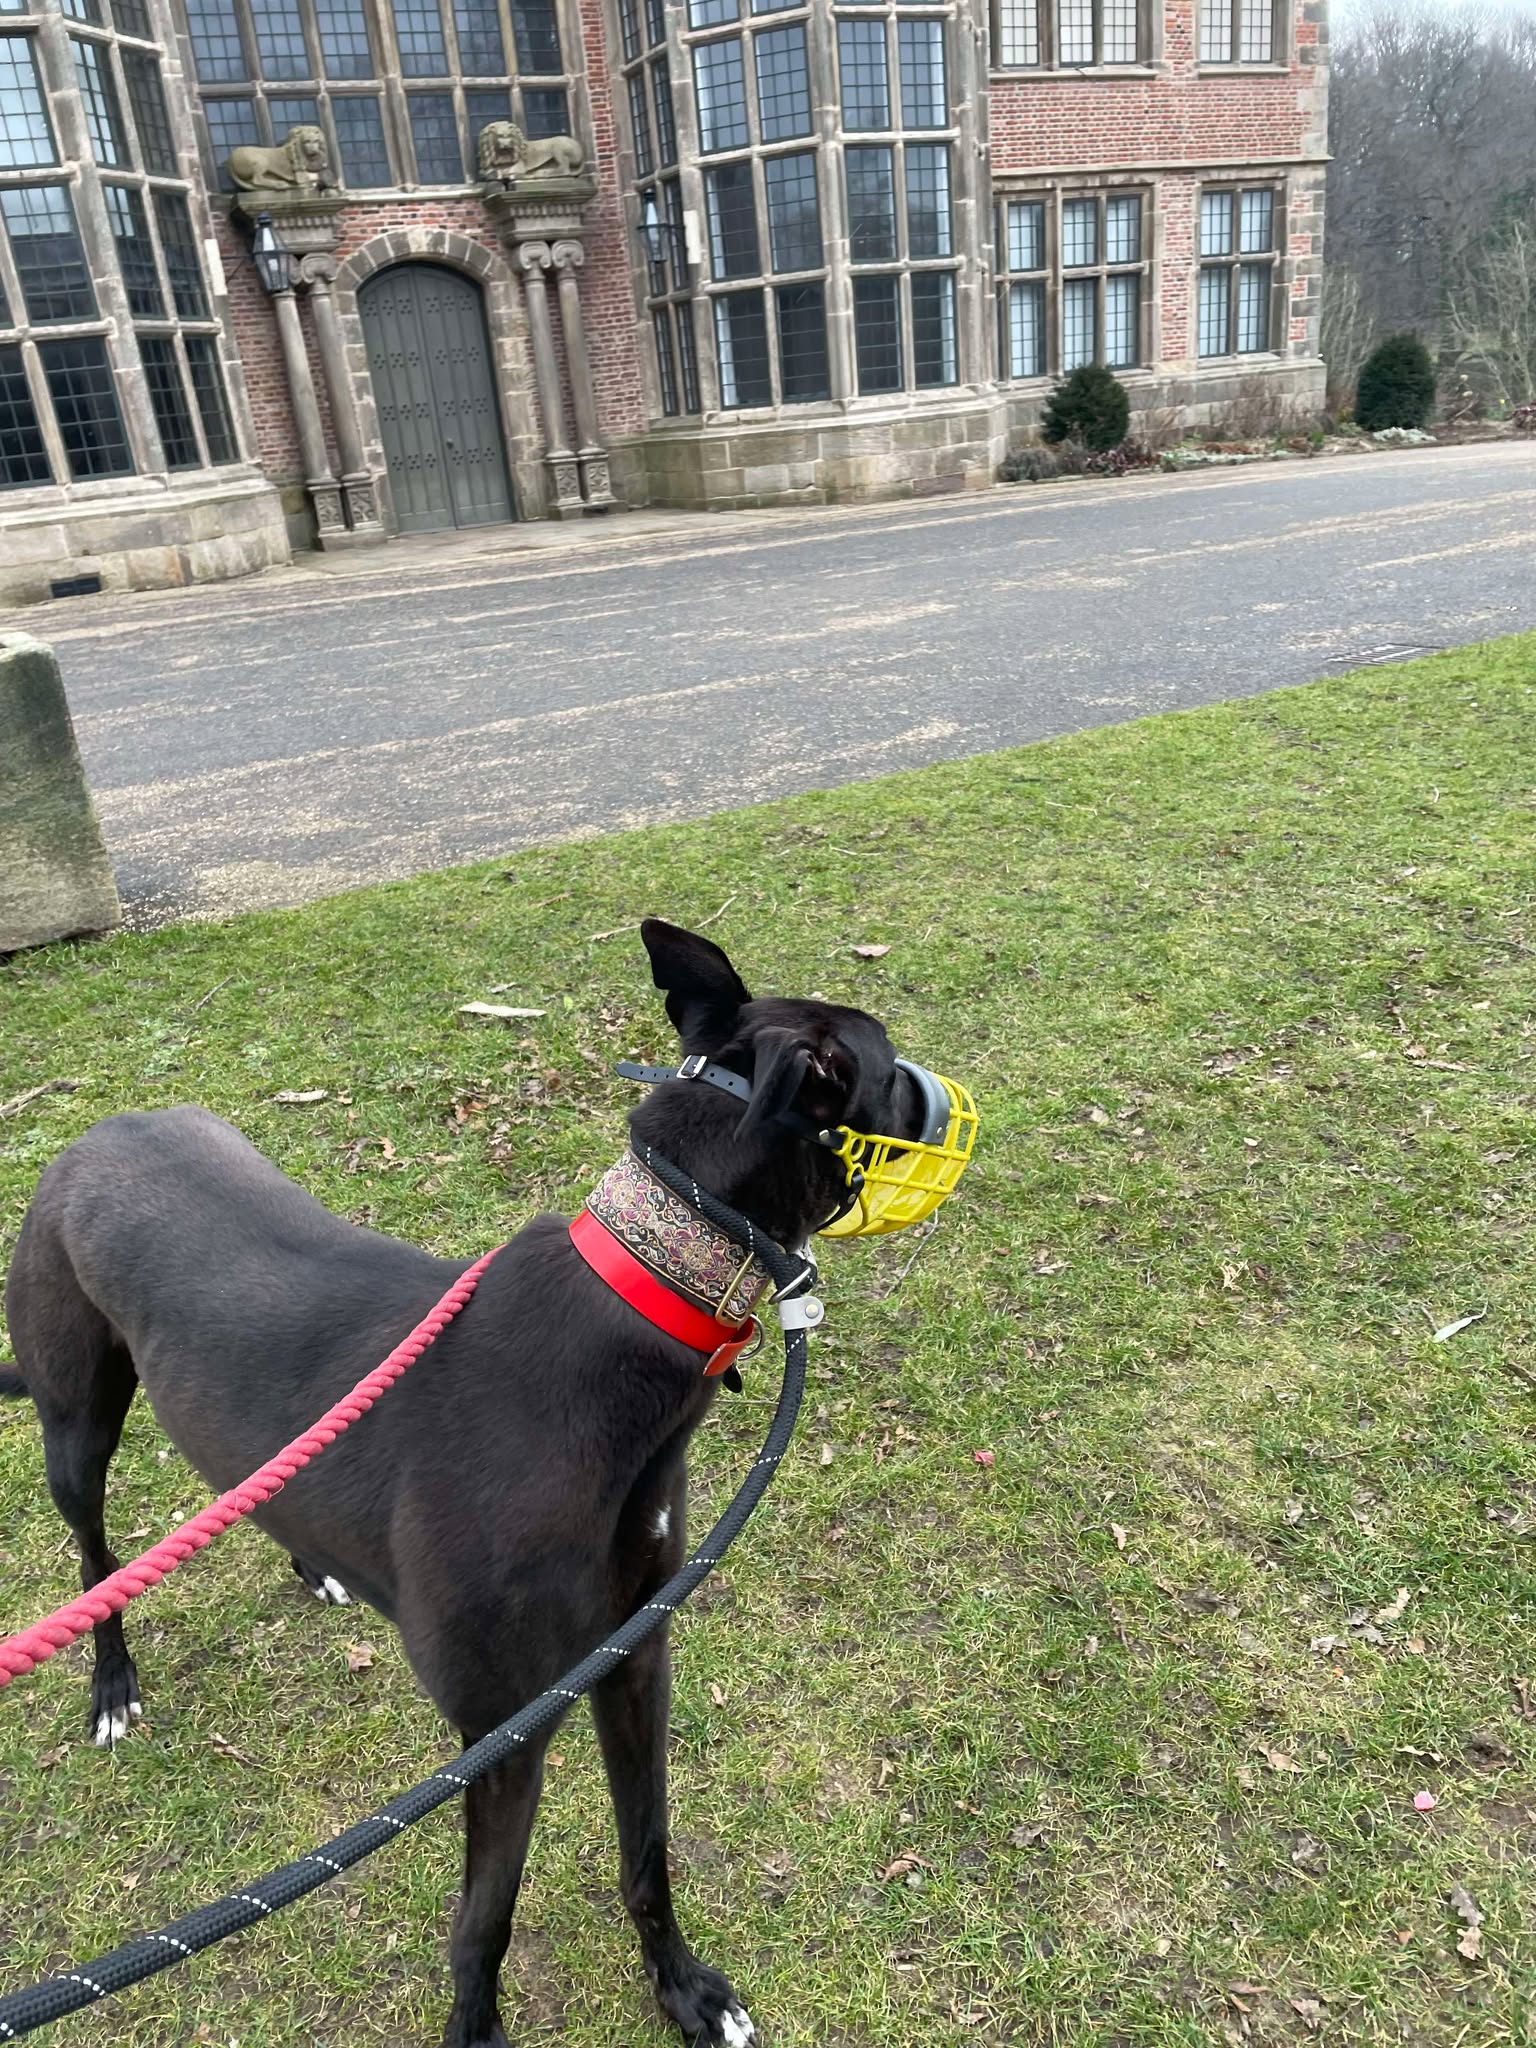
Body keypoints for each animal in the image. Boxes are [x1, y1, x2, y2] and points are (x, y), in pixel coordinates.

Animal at [2, 919, 935, 2048]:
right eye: (888, 1068)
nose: (949, 1099)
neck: (622, 1314)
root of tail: (90, 1136)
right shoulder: (502, 1732)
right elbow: (483, 1919)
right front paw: (480, 2027)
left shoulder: (631, 1656)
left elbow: (647, 1848)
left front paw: (684, 1991)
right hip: (74, 1420)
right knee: (94, 1549)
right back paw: (111, 1682)